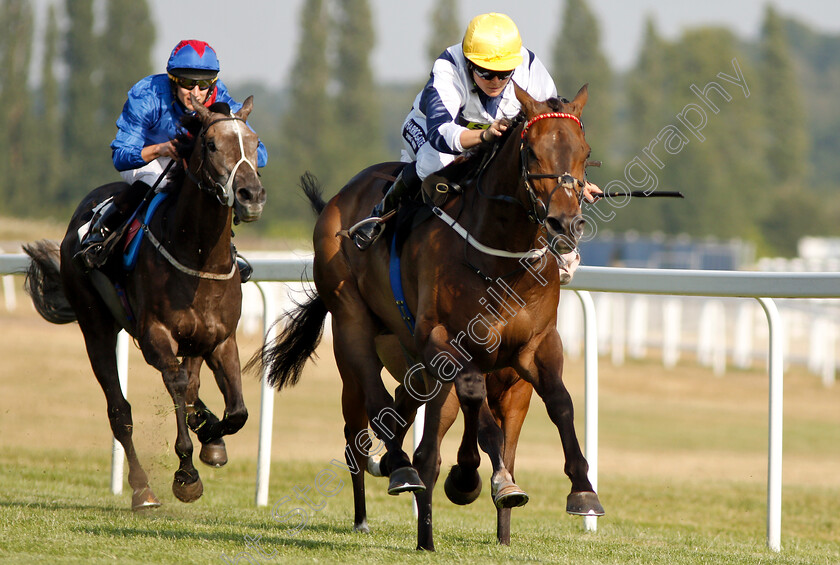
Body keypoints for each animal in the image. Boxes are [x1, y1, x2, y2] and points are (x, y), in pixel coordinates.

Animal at [23, 94, 266, 508]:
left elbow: (236, 411)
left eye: (253, 143)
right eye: (211, 144)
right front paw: (186, 473)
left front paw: (211, 435)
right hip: (96, 326)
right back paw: (143, 489)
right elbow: (178, 387)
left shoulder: (220, 338)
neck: (198, 257)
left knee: (192, 386)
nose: (251, 195)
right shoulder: (155, 335)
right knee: (120, 410)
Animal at [260, 83, 600, 548]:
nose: (566, 224)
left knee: (402, 412)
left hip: (416, 366)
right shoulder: (443, 338)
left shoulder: (536, 345)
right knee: (368, 417)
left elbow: (561, 403)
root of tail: (339, 196)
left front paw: (582, 490)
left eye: (584, 151)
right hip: (350, 322)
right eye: (532, 152)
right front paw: (475, 477)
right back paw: (393, 477)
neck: (500, 258)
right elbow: (474, 397)